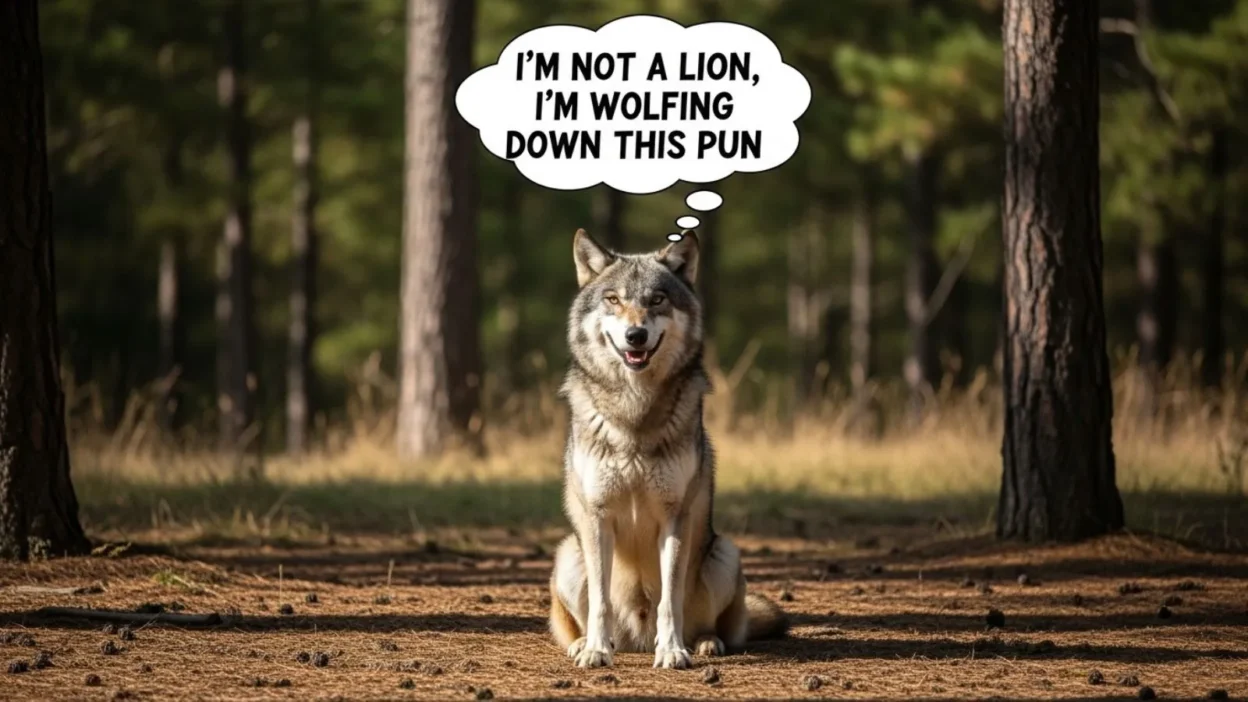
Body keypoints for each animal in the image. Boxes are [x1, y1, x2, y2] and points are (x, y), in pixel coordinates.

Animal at [548, 228, 787, 669]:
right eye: (613, 299)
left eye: (657, 299)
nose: (636, 335)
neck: (634, 413)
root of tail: (637, 639)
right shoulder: (598, 516)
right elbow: (601, 603)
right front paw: (595, 651)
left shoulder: (675, 516)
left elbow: (669, 600)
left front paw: (673, 651)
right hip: (569, 554)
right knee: (583, 619)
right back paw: (585, 644)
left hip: (724, 553)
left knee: (708, 625)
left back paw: (704, 644)